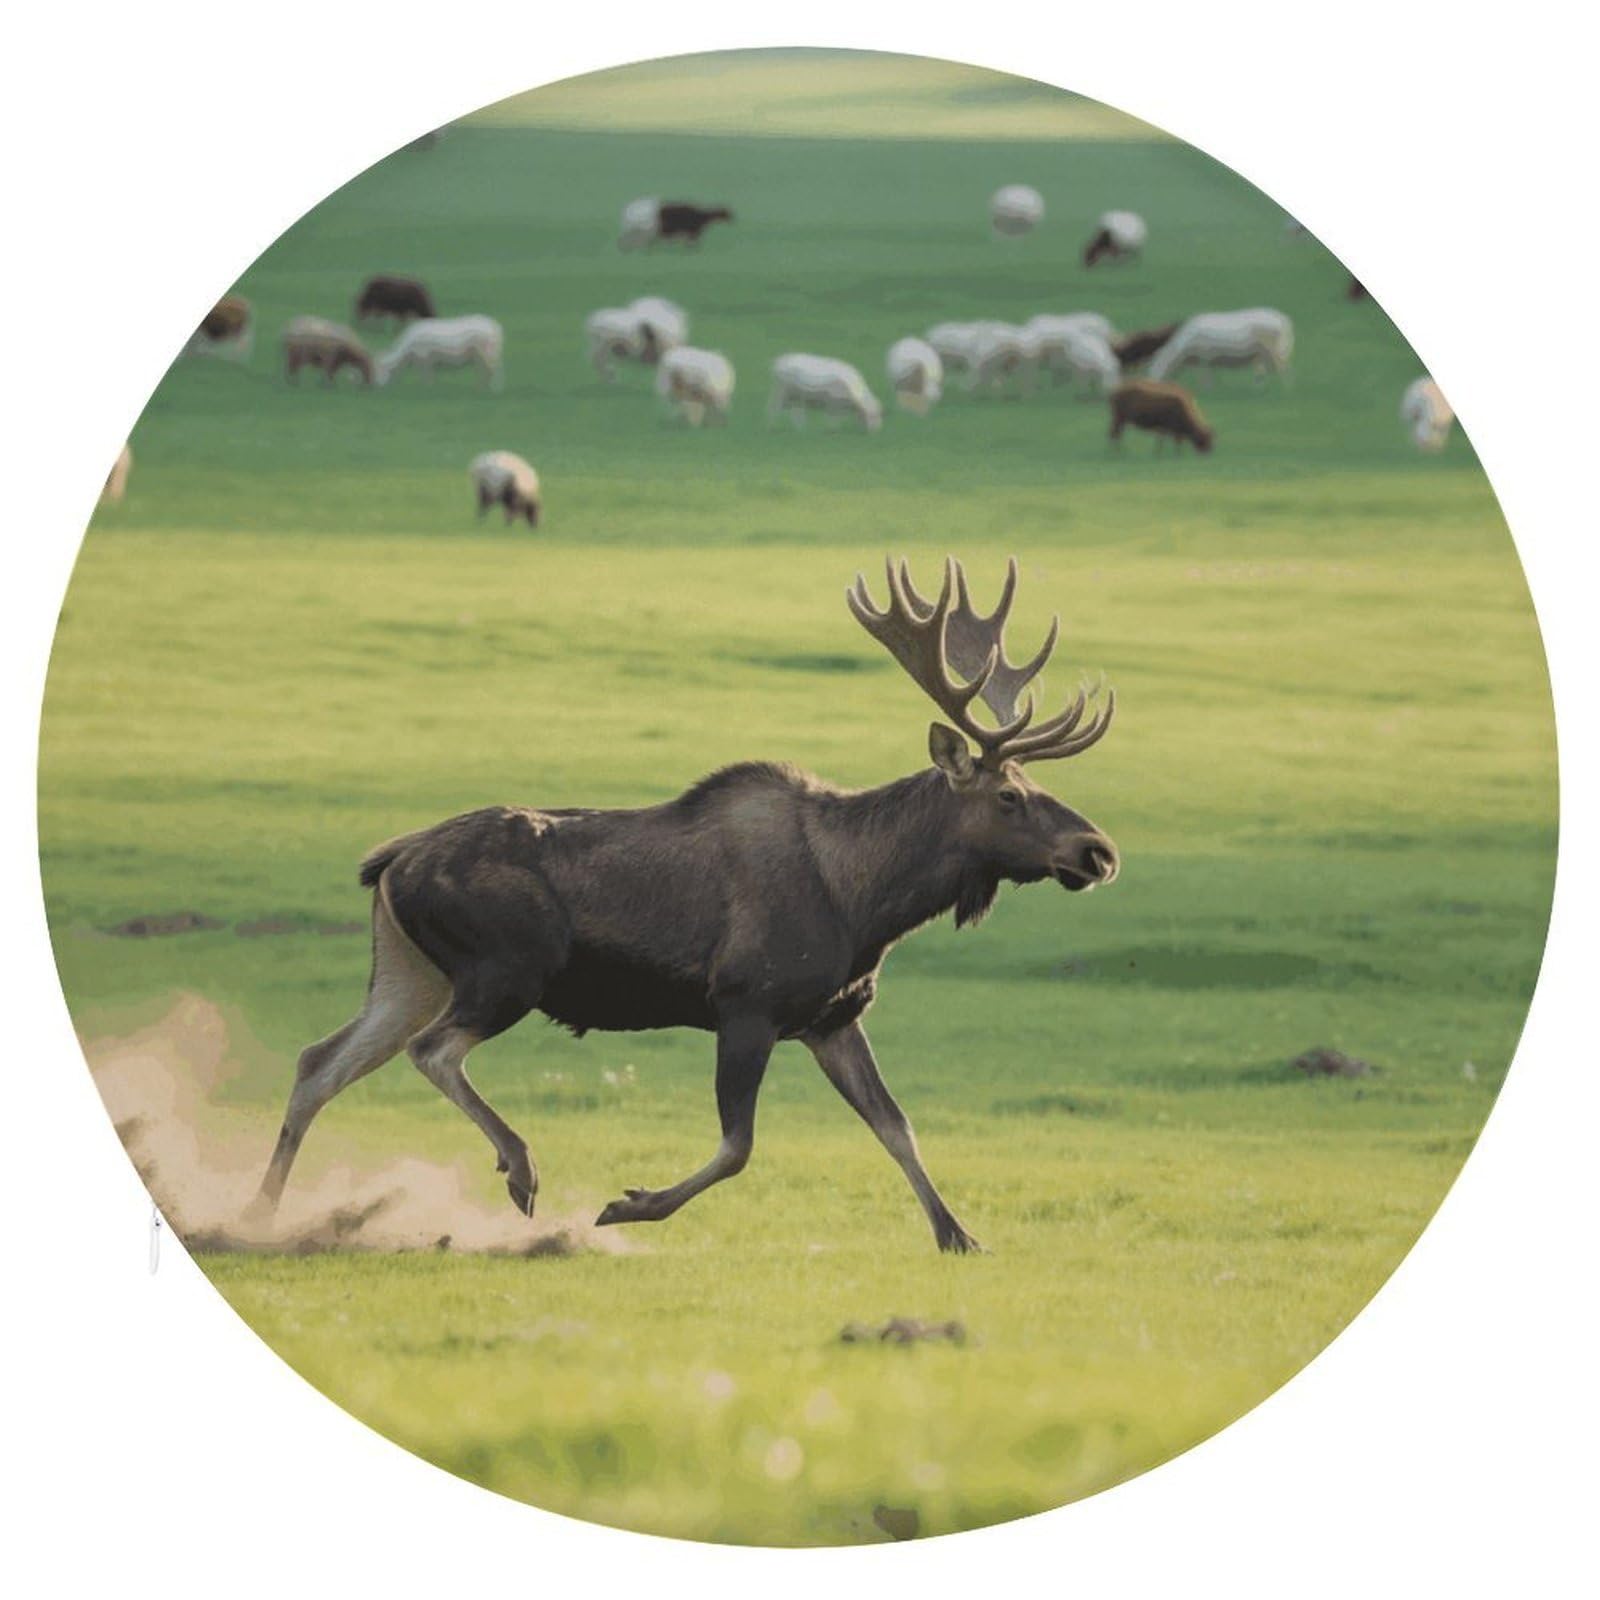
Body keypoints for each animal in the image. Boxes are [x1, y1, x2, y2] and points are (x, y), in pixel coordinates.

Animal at [253, 558, 1119, 1253]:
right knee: (429, 1051)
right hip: (505, 970)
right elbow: (739, 1146)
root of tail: (388, 863)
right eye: (1009, 796)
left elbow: (897, 1125)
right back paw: (519, 1167)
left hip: (411, 973)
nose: (1099, 851)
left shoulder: (832, 1017)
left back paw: (259, 1213)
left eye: (1036, 786)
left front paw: (958, 1233)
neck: (866, 903)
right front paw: (627, 1205)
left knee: (319, 1062)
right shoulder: (746, 1002)